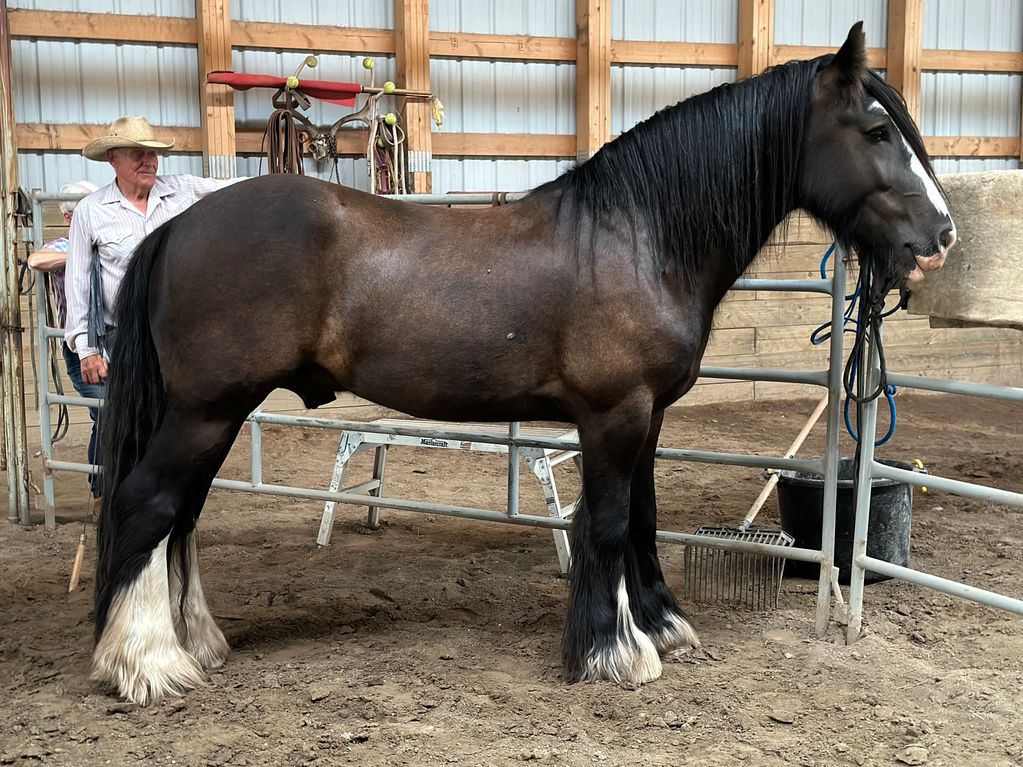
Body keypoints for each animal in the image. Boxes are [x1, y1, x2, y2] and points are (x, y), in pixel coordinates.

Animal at [92, 23, 955, 705]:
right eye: (877, 131)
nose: (939, 237)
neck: (637, 236)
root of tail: (177, 226)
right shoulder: (612, 414)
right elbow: (605, 522)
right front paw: (611, 652)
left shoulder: (647, 416)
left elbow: (641, 517)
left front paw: (661, 624)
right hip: (206, 409)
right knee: (148, 504)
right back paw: (146, 664)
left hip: (212, 413)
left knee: (181, 517)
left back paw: (195, 643)